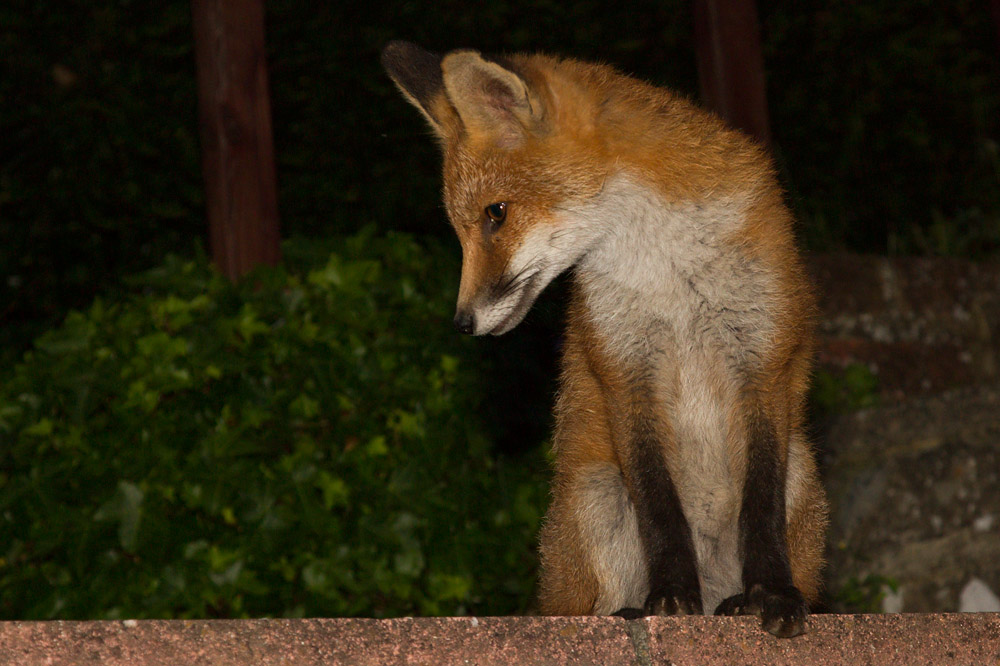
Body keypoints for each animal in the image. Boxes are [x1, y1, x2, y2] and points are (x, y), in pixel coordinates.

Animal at [381, 41, 828, 638]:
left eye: (496, 213)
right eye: (460, 229)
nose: (462, 323)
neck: (668, 269)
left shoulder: (762, 359)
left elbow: (761, 510)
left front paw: (773, 596)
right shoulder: (624, 370)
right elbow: (659, 508)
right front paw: (669, 597)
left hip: (801, 467)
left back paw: (737, 602)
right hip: (596, 493)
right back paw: (636, 610)